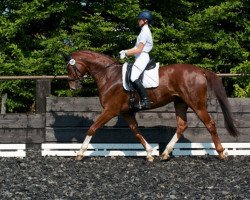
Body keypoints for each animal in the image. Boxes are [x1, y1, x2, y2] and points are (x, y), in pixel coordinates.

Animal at [66, 50, 238, 161]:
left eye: (69, 67)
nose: (73, 87)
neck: (109, 76)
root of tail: (200, 70)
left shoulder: (110, 110)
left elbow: (92, 128)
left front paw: (80, 153)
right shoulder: (126, 112)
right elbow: (136, 131)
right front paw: (149, 153)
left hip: (196, 104)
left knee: (210, 124)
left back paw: (222, 153)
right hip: (180, 103)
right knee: (182, 125)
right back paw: (165, 154)